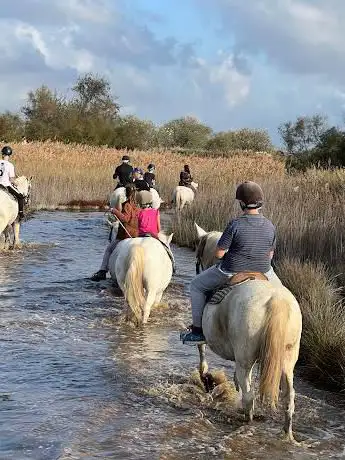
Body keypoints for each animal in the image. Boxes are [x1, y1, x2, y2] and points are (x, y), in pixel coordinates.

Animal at [191, 223, 300, 442]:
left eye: (198, 253)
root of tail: (276, 300)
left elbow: (201, 350)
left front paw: (206, 379)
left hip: (246, 359)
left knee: (250, 397)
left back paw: (246, 422)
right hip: (287, 359)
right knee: (289, 399)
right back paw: (288, 434)